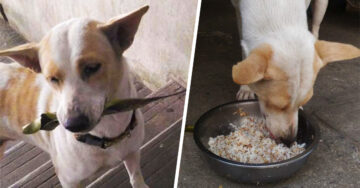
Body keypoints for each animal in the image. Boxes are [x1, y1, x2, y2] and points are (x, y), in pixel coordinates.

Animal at [0, 5, 150, 187]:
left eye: (92, 67)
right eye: (52, 78)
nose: (73, 124)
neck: (108, 134)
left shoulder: (132, 153)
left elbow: (136, 178)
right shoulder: (69, 180)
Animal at [231, 0, 360, 142]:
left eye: (302, 103)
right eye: (277, 106)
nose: (290, 140)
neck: (277, 7)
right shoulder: (238, 9)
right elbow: (244, 50)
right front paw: (246, 88)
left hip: (321, 6)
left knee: (316, 27)